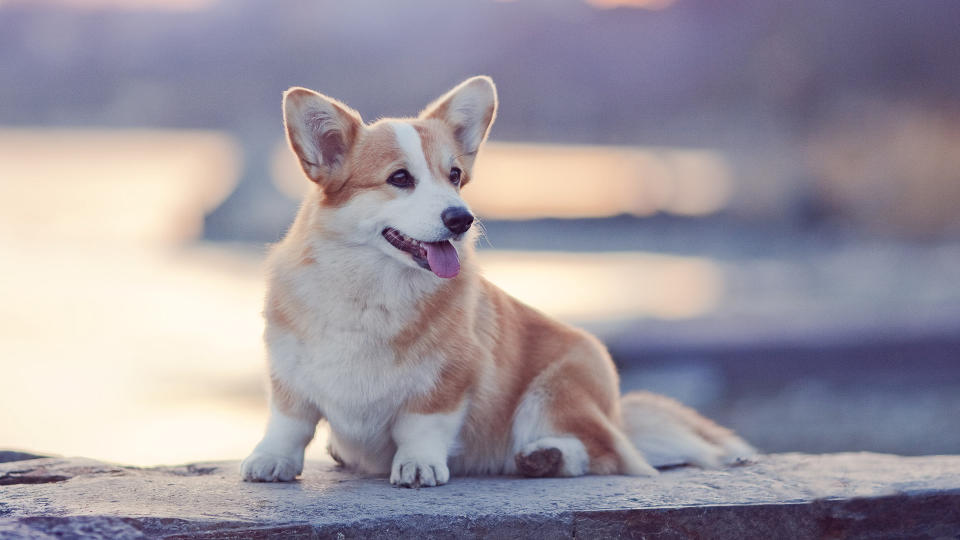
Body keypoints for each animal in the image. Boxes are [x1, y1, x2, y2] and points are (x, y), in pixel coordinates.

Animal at [238, 77, 752, 490]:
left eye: (455, 176)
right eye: (400, 178)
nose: (461, 219)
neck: (370, 287)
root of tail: (618, 415)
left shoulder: (450, 379)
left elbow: (422, 425)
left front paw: (419, 465)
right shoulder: (288, 371)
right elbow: (289, 422)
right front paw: (270, 459)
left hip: (556, 390)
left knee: (603, 454)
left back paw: (546, 457)